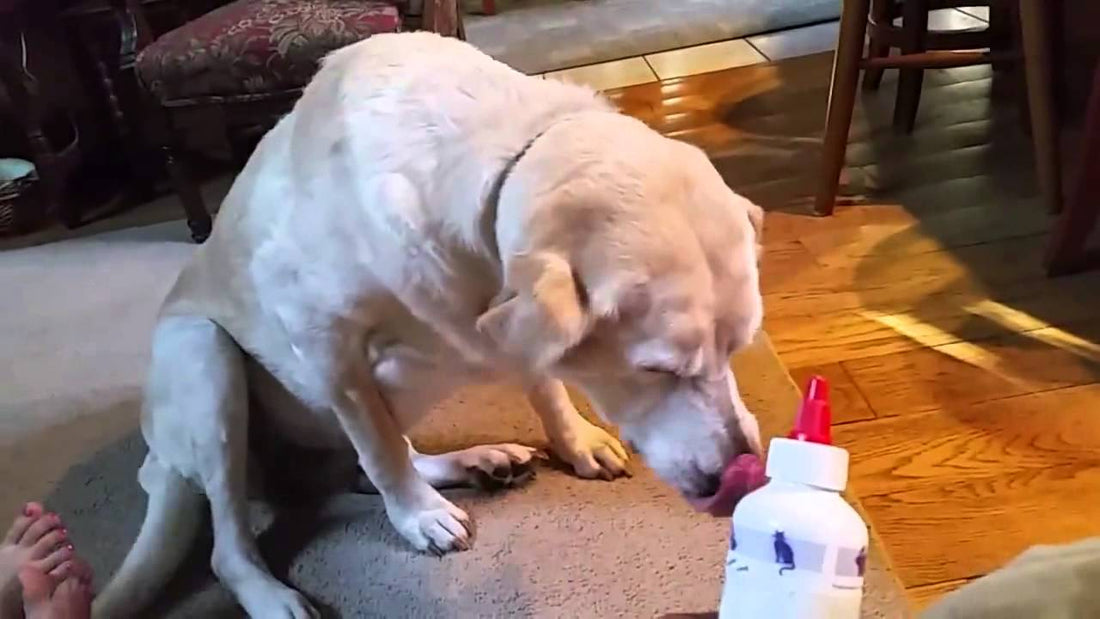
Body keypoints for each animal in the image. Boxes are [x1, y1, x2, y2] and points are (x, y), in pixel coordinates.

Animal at [92, 32, 765, 619]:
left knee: (367, 464)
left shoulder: (502, 316)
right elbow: (380, 449)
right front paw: (417, 517)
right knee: (234, 542)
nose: (739, 471)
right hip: (202, 358)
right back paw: (273, 595)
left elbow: (541, 382)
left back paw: (478, 462)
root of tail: (160, 466)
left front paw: (575, 440)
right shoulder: (323, 339)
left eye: (738, 348)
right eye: (657, 370)